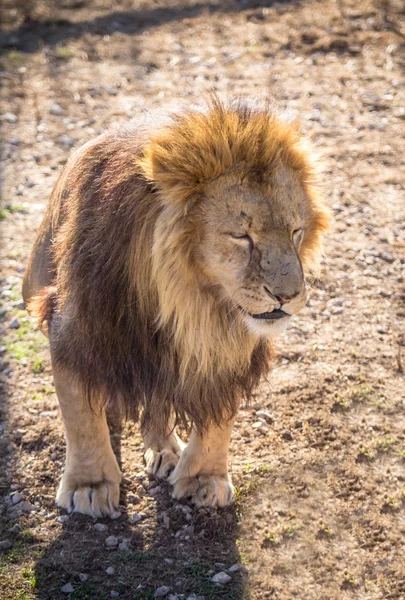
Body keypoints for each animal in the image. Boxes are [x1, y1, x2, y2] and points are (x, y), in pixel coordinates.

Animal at [22, 96, 328, 516]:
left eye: (296, 231)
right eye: (241, 236)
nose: (288, 296)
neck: (188, 298)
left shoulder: (224, 342)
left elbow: (219, 418)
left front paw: (204, 478)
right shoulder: (76, 325)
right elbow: (80, 415)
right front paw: (90, 484)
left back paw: (165, 450)